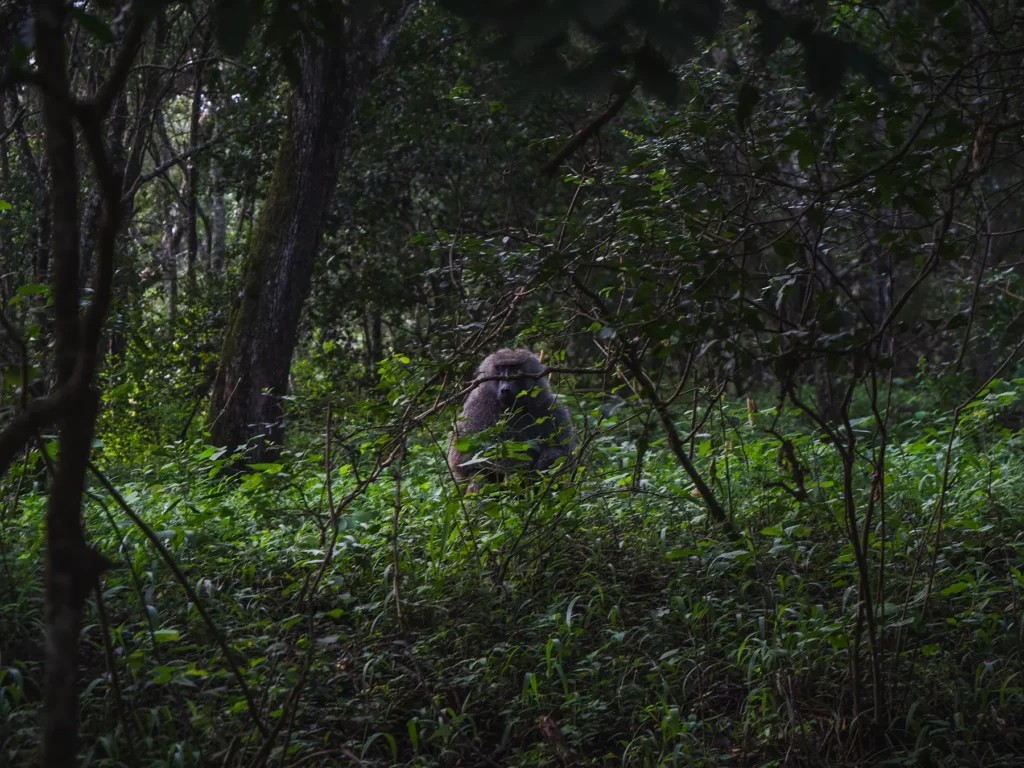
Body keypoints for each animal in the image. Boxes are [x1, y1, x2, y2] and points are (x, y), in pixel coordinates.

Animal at [447, 348, 575, 491]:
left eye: (516, 369)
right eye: (501, 368)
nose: (505, 389)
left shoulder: (551, 407)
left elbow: (565, 456)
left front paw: (542, 462)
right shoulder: (477, 407)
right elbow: (463, 458)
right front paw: (520, 465)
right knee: (479, 473)